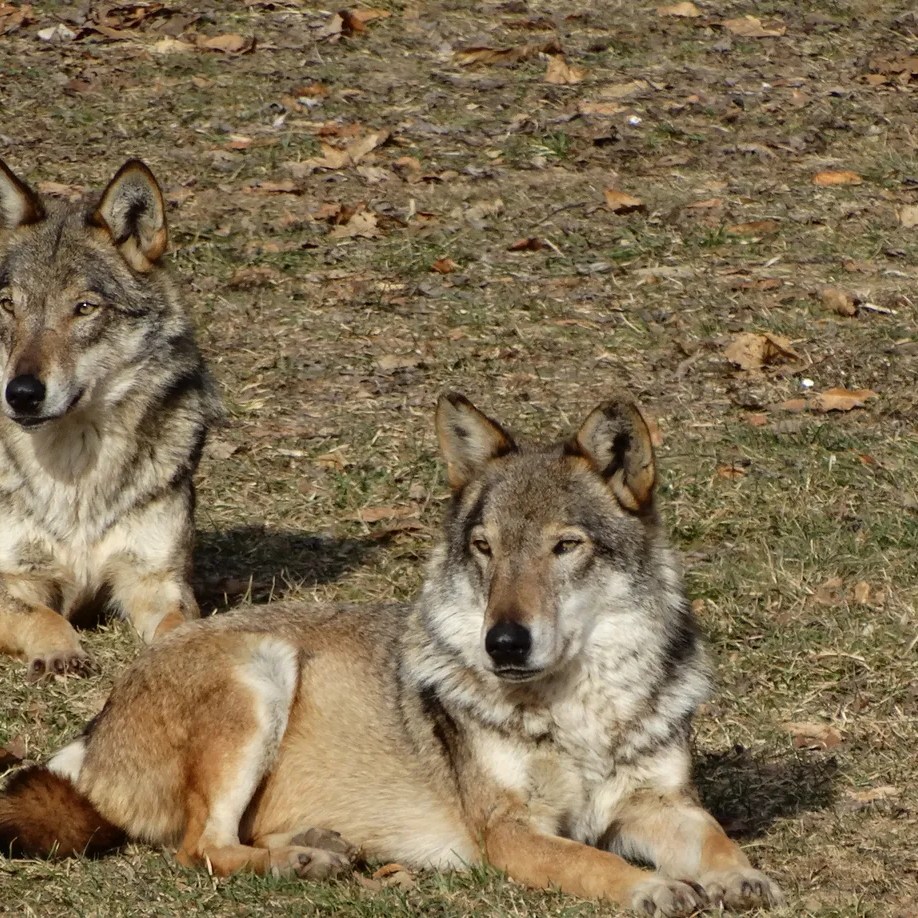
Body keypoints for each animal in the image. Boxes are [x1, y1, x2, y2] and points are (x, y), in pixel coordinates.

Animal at [0, 158, 221, 679]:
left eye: (84, 308)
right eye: (8, 305)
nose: (21, 394)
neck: (76, 478)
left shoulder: (155, 580)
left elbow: (179, 628)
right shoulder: (14, 576)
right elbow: (40, 615)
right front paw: (60, 653)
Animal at [0, 394, 782, 915]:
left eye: (566, 546)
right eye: (485, 549)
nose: (503, 641)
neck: (580, 712)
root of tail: (94, 733)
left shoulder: (663, 803)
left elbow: (717, 842)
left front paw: (741, 878)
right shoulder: (512, 834)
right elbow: (592, 863)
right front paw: (654, 886)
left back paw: (321, 844)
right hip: (262, 669)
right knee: (202, 848)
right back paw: (301, 861)